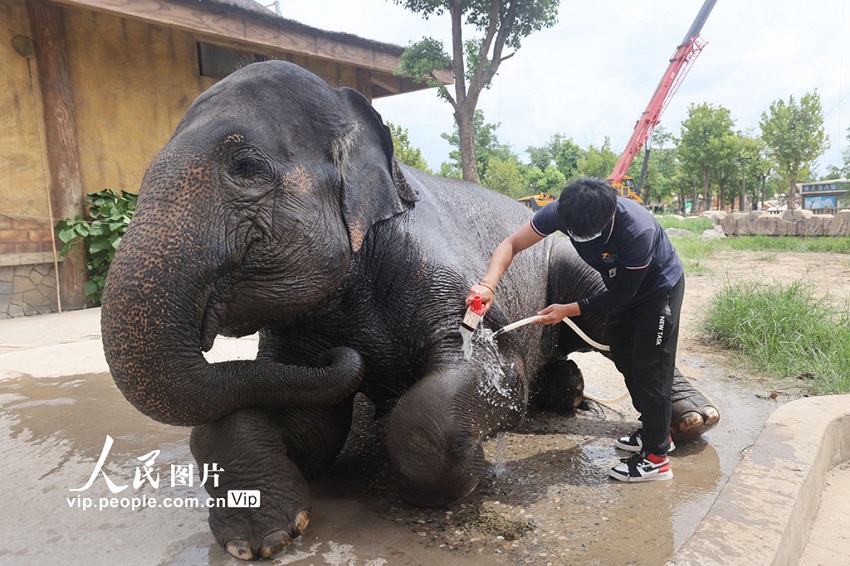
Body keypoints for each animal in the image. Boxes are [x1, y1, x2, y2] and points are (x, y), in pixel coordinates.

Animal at [102, 61, 720, 564]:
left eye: (246, 167)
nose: (342, 352)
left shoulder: (438, 274)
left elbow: (486, 378)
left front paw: (474, 471)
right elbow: (287, 416)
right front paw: (261, 540)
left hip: (571, 259)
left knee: (618, 324)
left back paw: (689, 424)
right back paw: (568, 396)